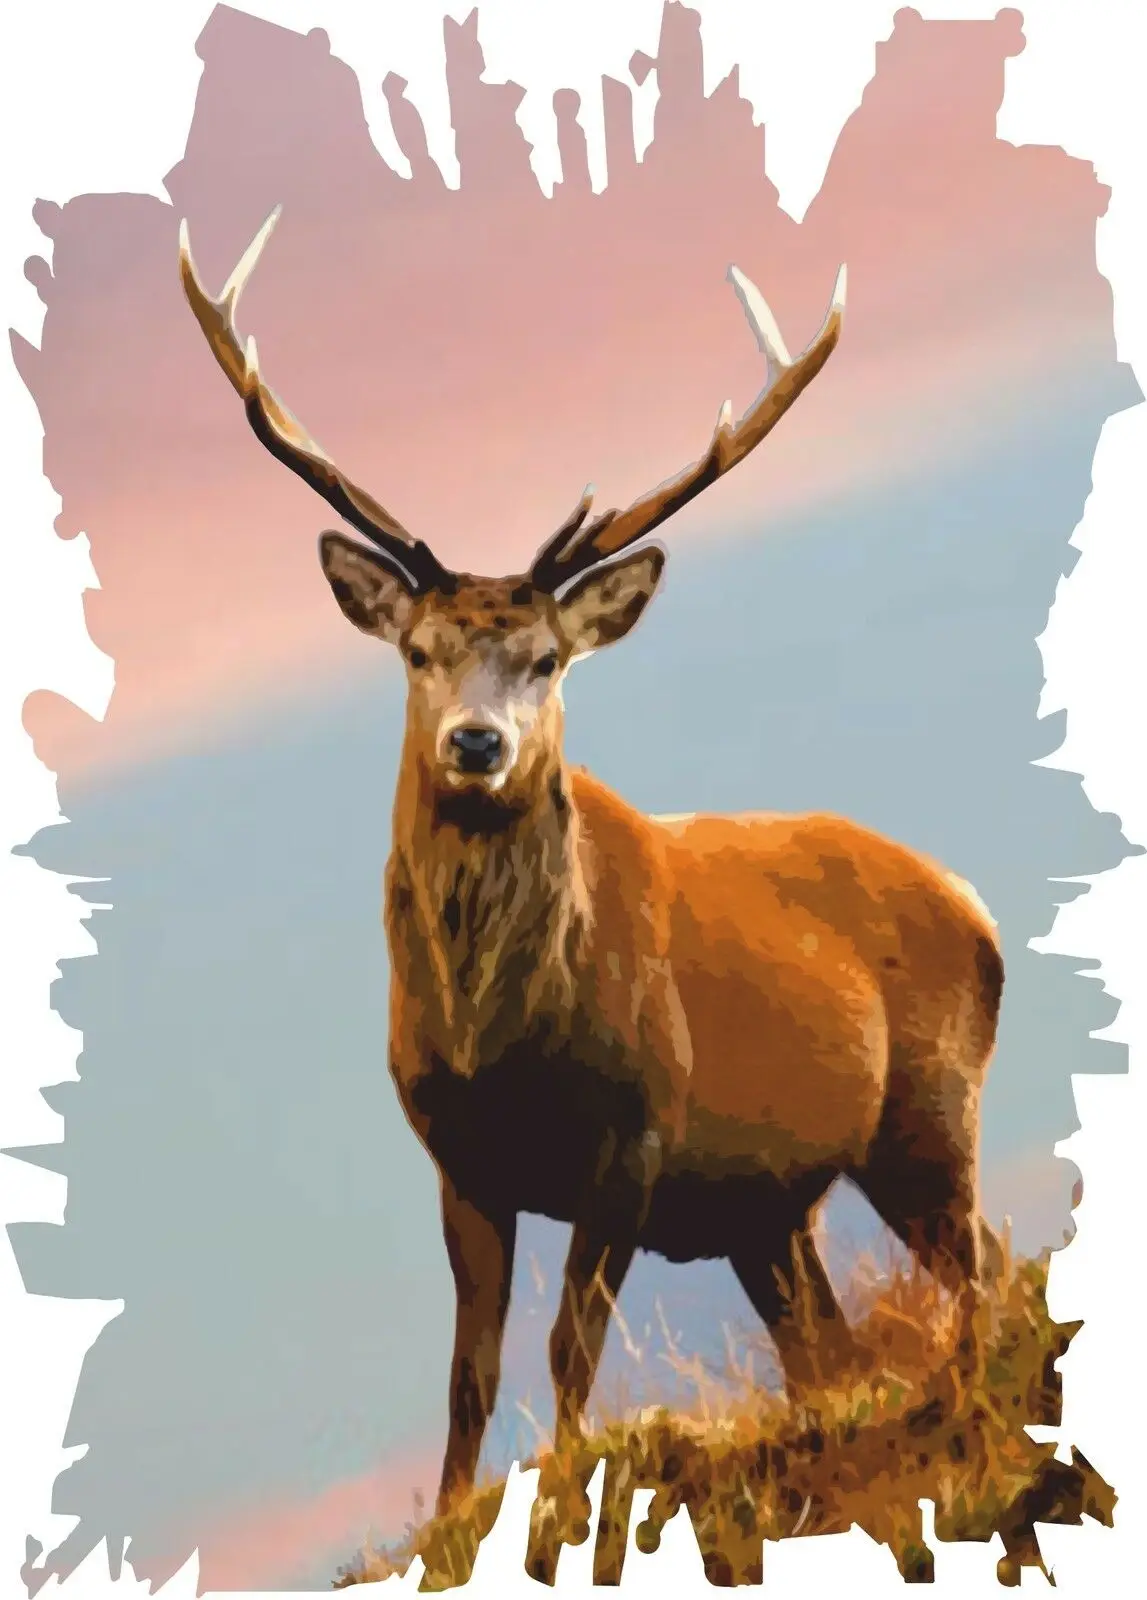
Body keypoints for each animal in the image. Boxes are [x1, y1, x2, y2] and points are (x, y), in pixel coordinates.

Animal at [179, 208, 1005, 1525]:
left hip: (928, 1108)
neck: (496, 1038)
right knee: (830, 1341)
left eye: (547, 659)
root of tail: (975, 902)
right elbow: (468, 1371)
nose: (477, 743)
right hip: (770, 1204)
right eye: (418, 651)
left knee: (981, 1268)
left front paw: (566, 1494)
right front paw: (454, 1516)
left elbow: (572, 1347)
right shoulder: (459, 1156)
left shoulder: (638, 1131)